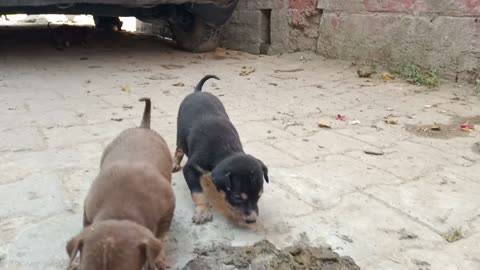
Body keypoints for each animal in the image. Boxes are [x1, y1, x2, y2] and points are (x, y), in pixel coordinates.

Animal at [65, 98, 174, 270]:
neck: (119, 215)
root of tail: (143, 127)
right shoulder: (88, 207)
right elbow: (85, 227)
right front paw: (75, 260)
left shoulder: (168, 205)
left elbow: (162, 235)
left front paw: (158, 259)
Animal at [173, 75, 270, 225]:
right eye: (237, 197)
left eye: (259, 195)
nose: (252, 220)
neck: (226, 149)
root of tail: (198, 92)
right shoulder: (191, 168)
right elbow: (198, 193)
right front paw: (203, 212)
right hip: (180, 133)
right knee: (179, 149)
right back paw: (175, 163)